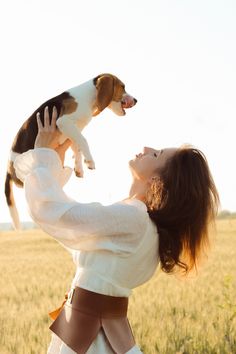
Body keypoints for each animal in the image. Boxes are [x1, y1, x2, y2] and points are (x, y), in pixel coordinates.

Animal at [4, 74, 137, 230]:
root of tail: (8, 170)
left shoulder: (75, 129)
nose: (136, 100)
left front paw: (79, 167)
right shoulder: (65, 122)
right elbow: (83, 141)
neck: (89, 96)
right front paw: (90, 161)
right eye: (123, 87)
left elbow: (77, 147)